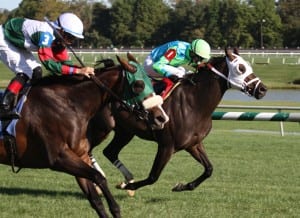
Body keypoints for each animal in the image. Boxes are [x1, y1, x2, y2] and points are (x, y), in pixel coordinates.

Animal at [0, 55, 169, 216]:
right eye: (139, 85)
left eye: (150, 81)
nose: (161, 118)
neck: (68, 105)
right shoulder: (59, 158)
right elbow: (99, 178)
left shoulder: (79, 156)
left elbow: (96, 200)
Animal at [88, 47, 268, 194]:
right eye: (241, 68)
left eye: (248, 66)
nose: (263, 89)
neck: (194, 103)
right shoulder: (167, 145)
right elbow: (153, 176)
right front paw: (129, 186)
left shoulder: (193, 144)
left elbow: (209, 169)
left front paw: (182, 186)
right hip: (101, 129)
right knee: (89, 151)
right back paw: (102, 182)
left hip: (125, 132)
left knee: (109, 152)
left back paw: (124, 178)